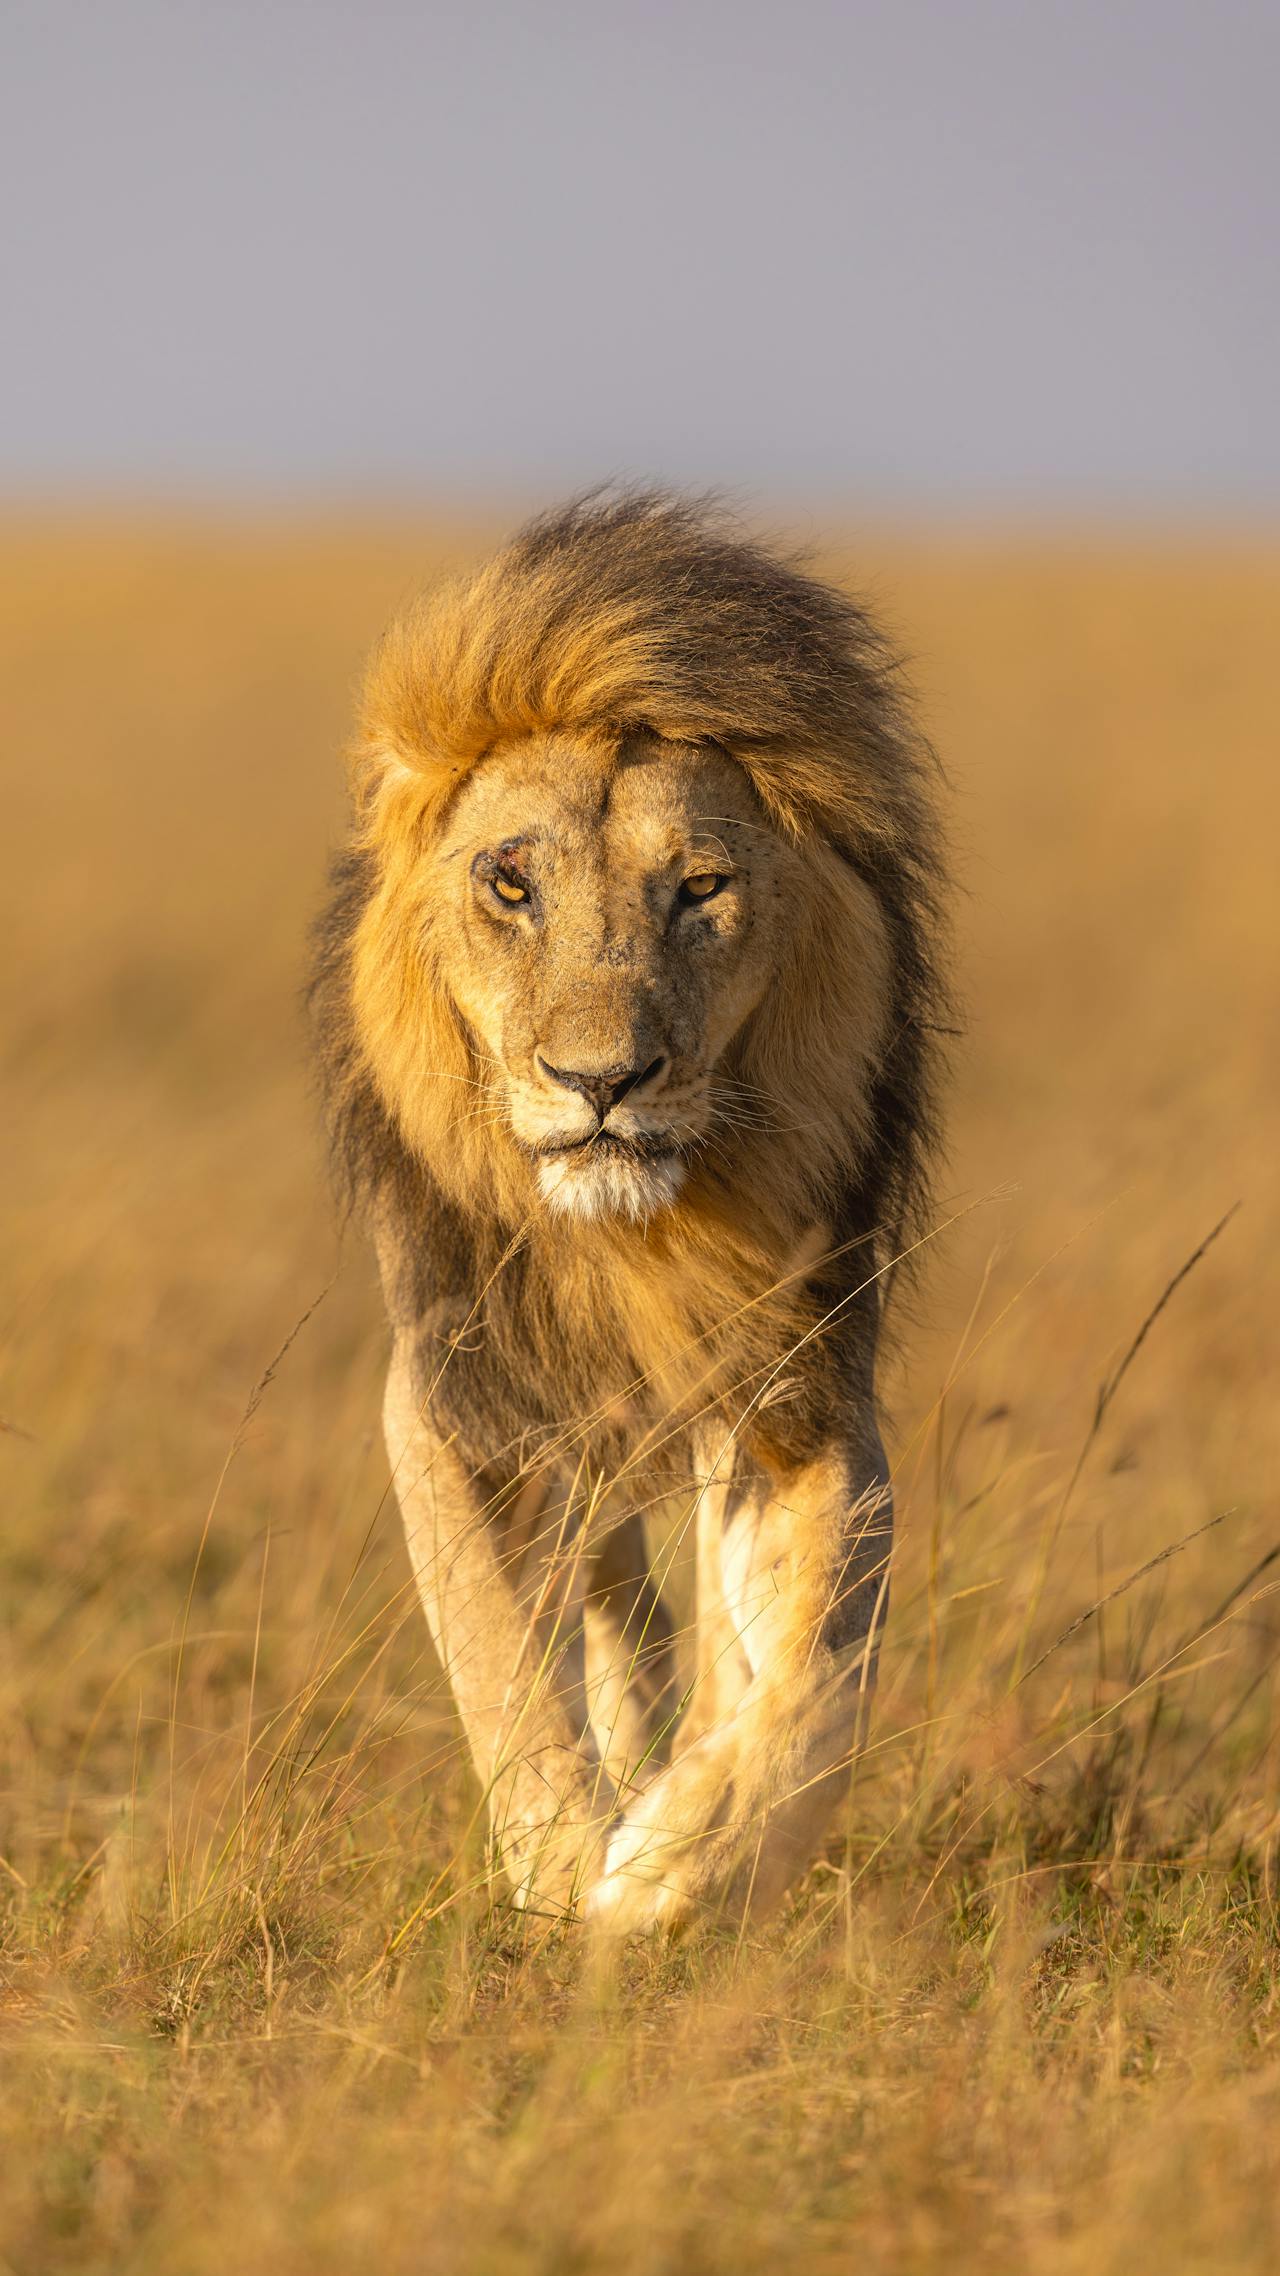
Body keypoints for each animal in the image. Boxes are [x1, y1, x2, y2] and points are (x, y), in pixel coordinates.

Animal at [310, 489, 947, 1933]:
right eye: (509, 883)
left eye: (699, 888)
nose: (600, 1080)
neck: (632, 1241)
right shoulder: (456, 1401)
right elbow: (499, 1663)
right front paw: (562, 1870)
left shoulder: (803, 1402)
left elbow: (811, 1678)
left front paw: (673, 1867)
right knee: (610, 1613)